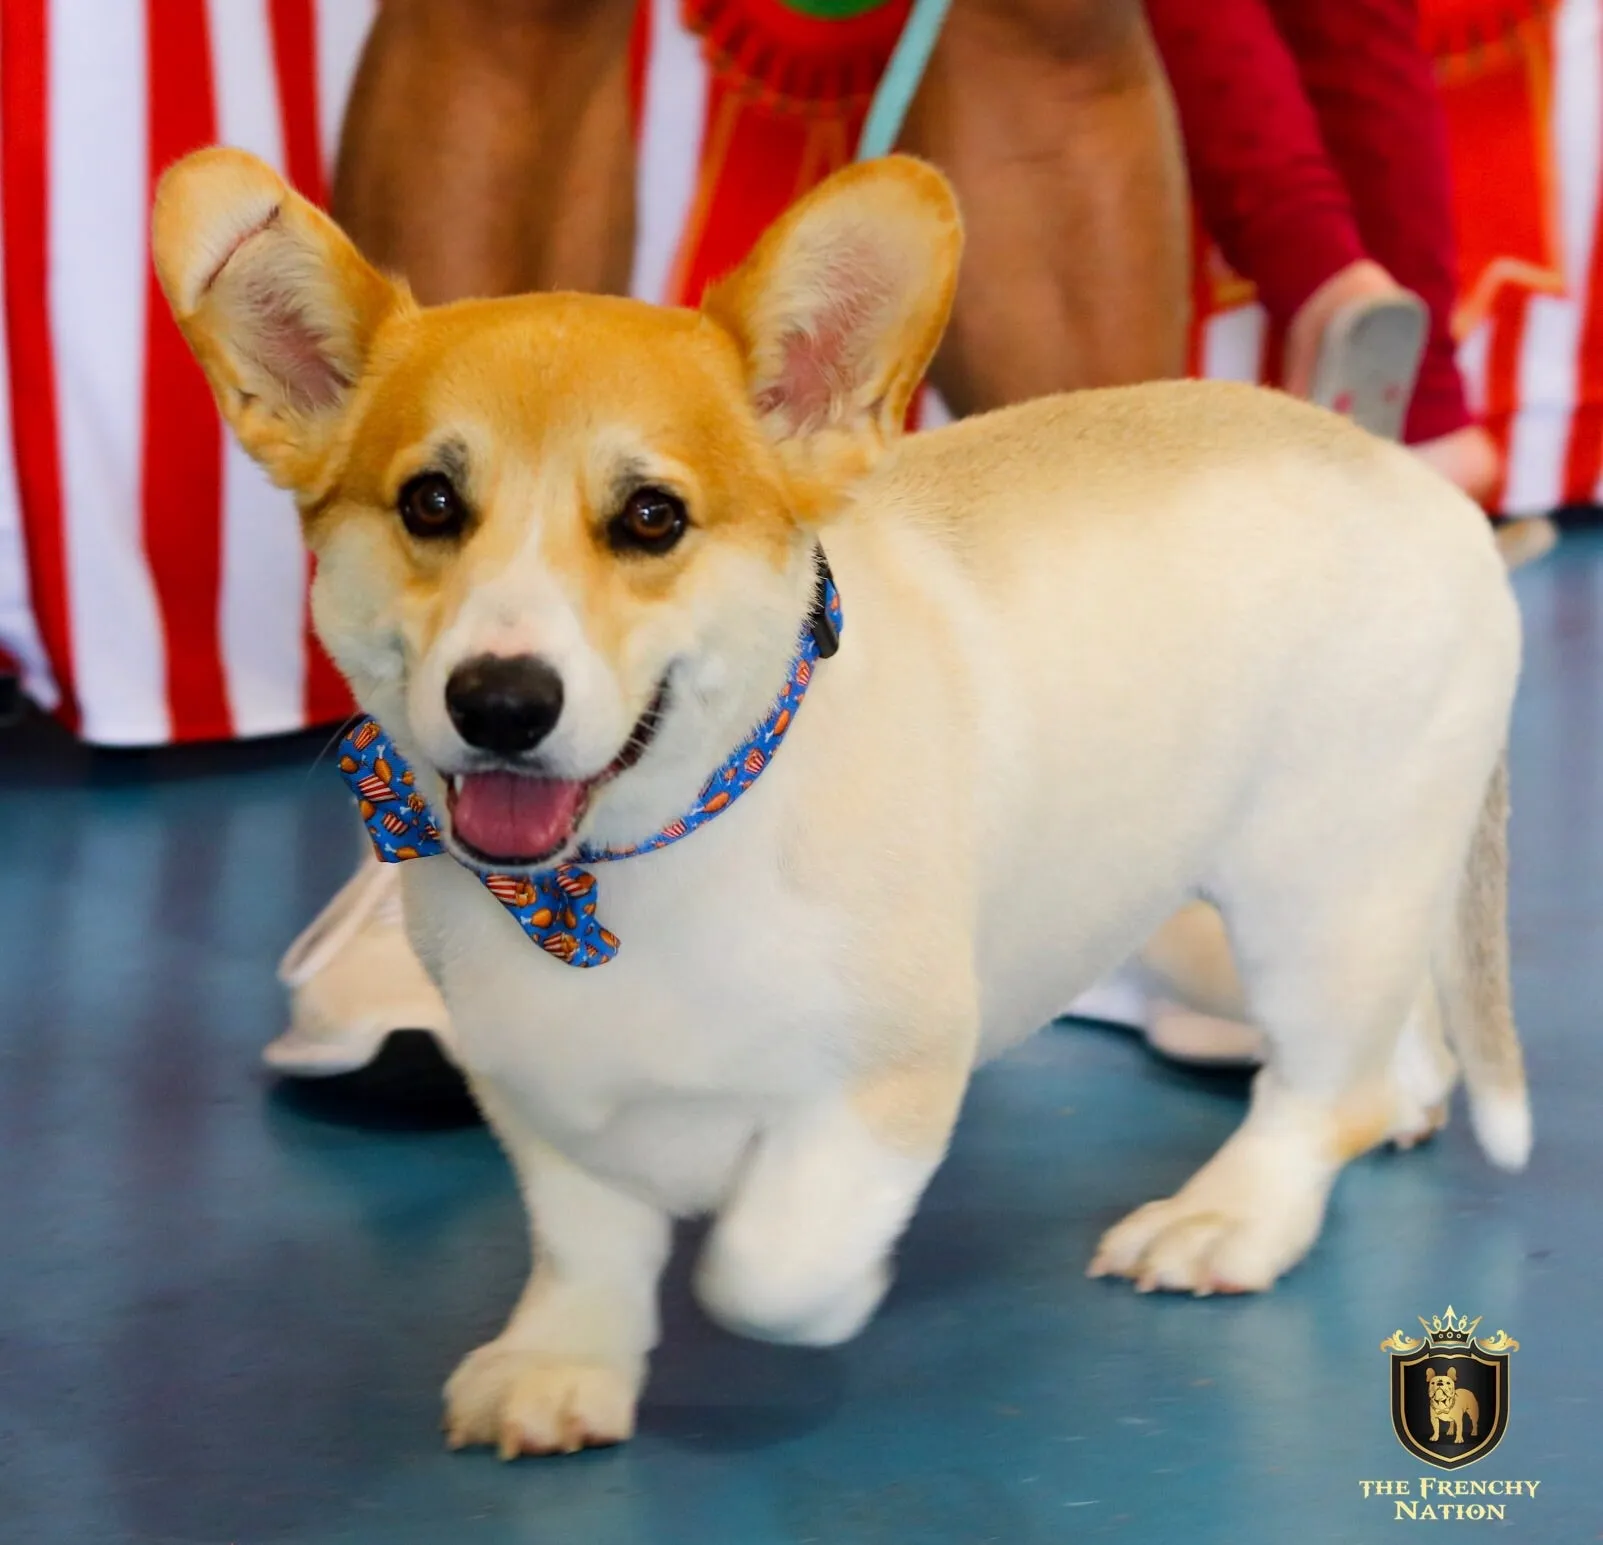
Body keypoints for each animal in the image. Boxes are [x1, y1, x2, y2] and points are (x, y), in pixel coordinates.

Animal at [150, 148, 1526, 1461]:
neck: (638, 868)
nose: (500, 702)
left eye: (651, 517)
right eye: (429, 504)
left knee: (1320, 1090)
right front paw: (562, 1364)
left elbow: (767, 1266)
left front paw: (826, 1283)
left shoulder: (891, 1080)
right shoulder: (539, 1092)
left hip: (1314, 895)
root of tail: (1430, 493)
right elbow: (585, 1240)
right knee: (1388, 1043)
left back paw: (1229, 1217)